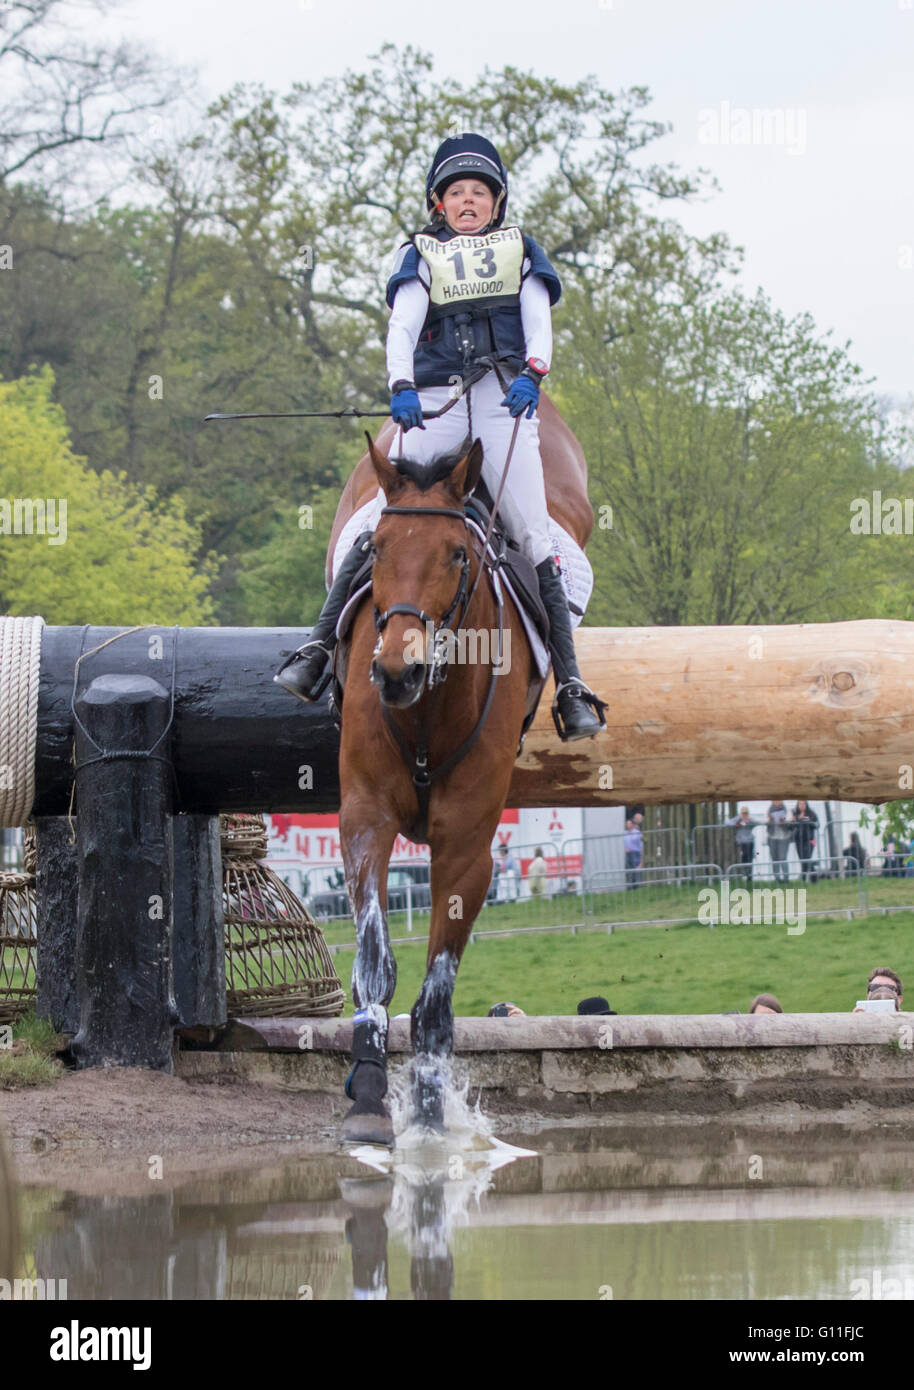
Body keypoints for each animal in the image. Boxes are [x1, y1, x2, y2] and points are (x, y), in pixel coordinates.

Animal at [330, 397, 594, 1145]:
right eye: (377, 551)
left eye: (455, 554)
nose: (397, 670)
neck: (428, 708)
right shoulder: (365, 819)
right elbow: (374, 964)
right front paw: (368, 1097)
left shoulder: (468, 847)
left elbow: (437, 995)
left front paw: (427, 1109)